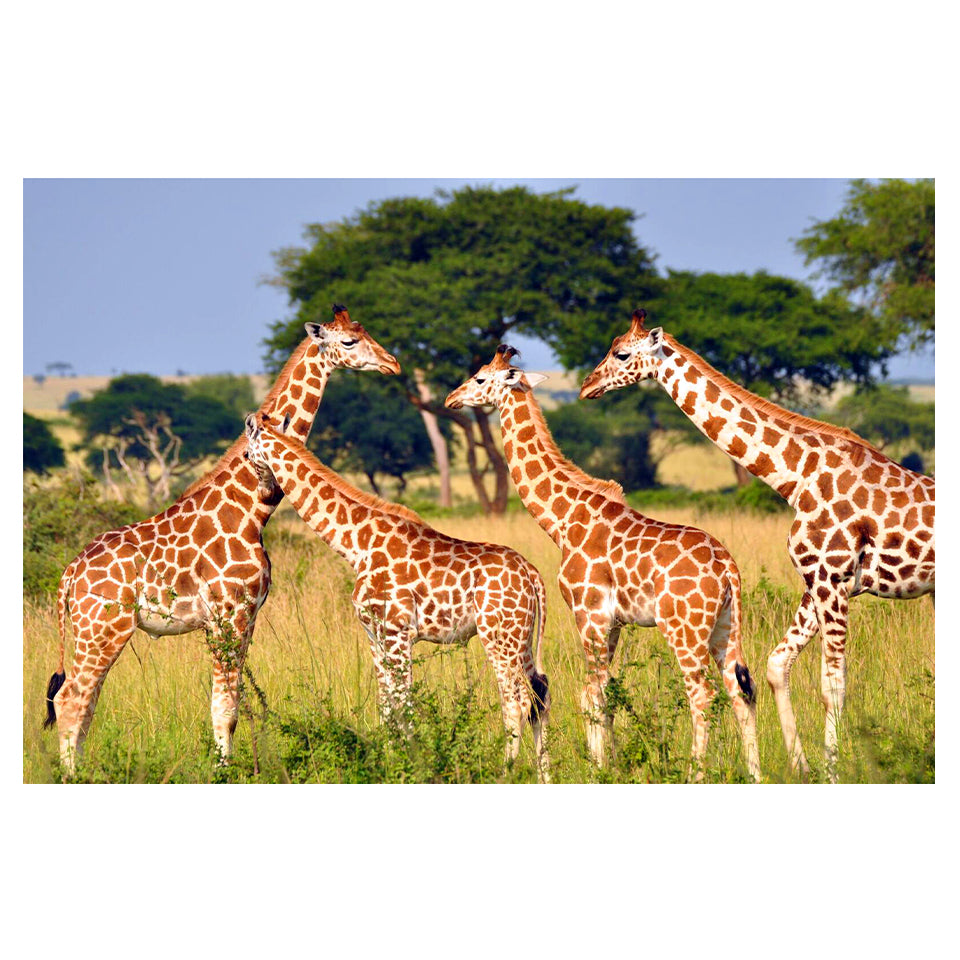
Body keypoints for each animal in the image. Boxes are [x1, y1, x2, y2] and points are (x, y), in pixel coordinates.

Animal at [43, 305, 400, 776]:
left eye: (366, 331)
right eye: (348, 341)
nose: (393, 364)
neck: (252, 509)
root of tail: (69, 574)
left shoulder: (245, 617)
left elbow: (229, 702)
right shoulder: (229, 613)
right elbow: (225, 707)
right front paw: (222, 773)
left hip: (95, 630)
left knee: (85, 699)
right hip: (102, 627)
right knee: (71, 698)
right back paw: (74, 776)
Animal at [242, 412, 551, 780]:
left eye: (247, 453)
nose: (264, 492)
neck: (355, 544)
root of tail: (532, 574)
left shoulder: (398, 631)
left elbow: (404, 704)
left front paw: (411, 766)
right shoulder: (374, 634)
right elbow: (386, 704)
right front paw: (391, 763)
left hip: (498, 636)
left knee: (516, 700)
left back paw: (506, 771)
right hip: (521, 637)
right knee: (540, 693)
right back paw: (545, 775)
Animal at [445, 346, 760, 781]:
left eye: (479, 378)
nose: (450, 399)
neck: (561, 520)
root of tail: (728, 568)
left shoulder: (588, 613)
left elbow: (590, 693)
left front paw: (598, 769)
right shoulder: (612, 623)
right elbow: (605, 692)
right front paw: (609, 764)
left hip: (685, 628)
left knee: (703, 694)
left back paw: (694, 772)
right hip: (725, 627)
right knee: (740, 691)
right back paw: (756, 773)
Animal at [581, 308, 936, 780]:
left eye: (621, 353)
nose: (586, 386)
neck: (796, 478)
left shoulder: (832, 579)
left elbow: (832, 685)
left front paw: (833, 771)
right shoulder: (823, 582)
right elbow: (774, 666)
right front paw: (800, 767)